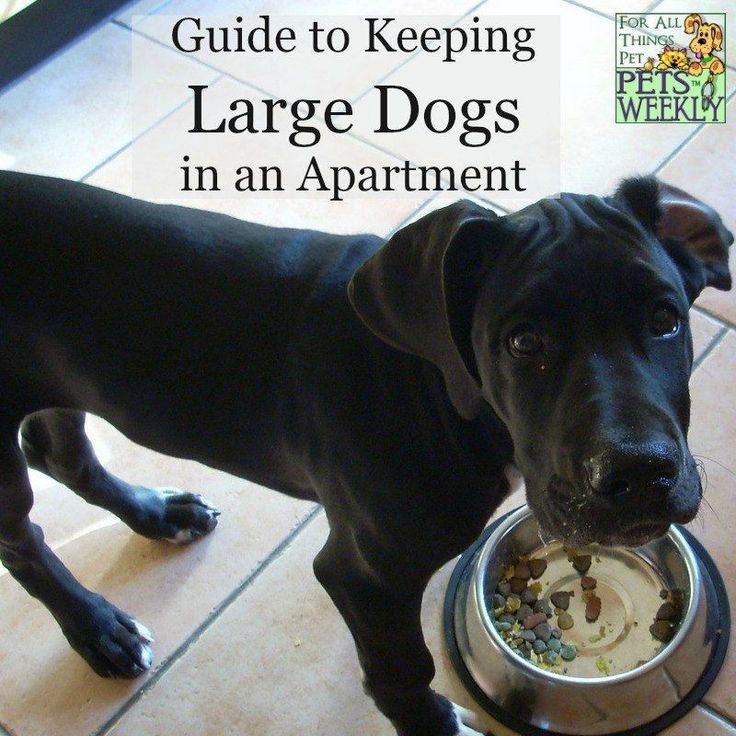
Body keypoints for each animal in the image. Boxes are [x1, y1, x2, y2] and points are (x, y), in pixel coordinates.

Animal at [0, 170, 732, 732]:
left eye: (665, 319)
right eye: (523, 342)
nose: (640, 473)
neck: (436, 388)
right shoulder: (364, 575)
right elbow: (400, 670)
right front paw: (433, 726)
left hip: (59, 377)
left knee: (59, 451)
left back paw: (157, 515)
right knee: (23, 538)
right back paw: (98, 628)